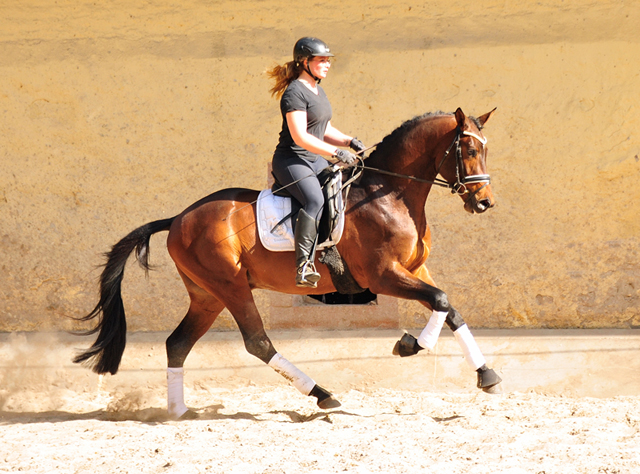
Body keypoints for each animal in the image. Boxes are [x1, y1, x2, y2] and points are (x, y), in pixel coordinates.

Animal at [75, 106, 502, 418]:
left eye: (485, 149)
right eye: (468, 150)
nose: (484, 202)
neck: (389, 193)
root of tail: (178, 217)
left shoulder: (414, 270)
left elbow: (450, 309)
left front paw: (486, 375)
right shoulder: (383, 276)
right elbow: (441, 300)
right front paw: (411, 345)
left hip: (207, 295)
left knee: (177, 343)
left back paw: (179, 411)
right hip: (229, 286)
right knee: (257, 342)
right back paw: (322, 394)